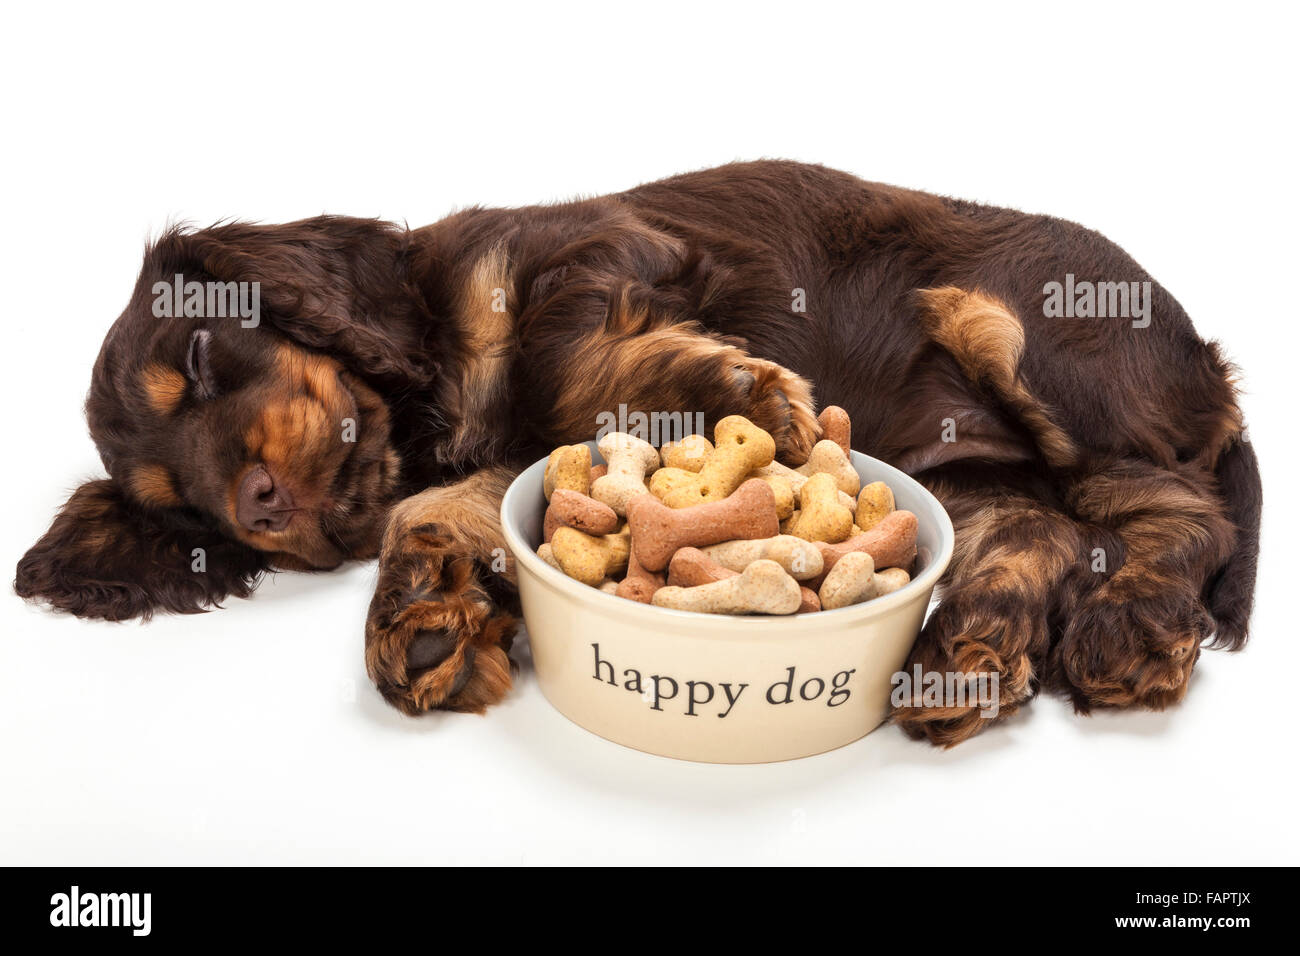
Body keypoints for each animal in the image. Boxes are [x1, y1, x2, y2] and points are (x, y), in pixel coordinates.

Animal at [15, 162, 1258, 749]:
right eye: (185, 514)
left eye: (202, 352)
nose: (259, 504)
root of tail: (1206, 360)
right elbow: (447, 503)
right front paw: (427, 603)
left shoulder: (607, 258)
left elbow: (574, 360)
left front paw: (741, 392)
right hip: (967, 472)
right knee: (1050, 523)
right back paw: (976, 643)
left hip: (1022, 327)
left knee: (1184, 509)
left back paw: (1131, 621)